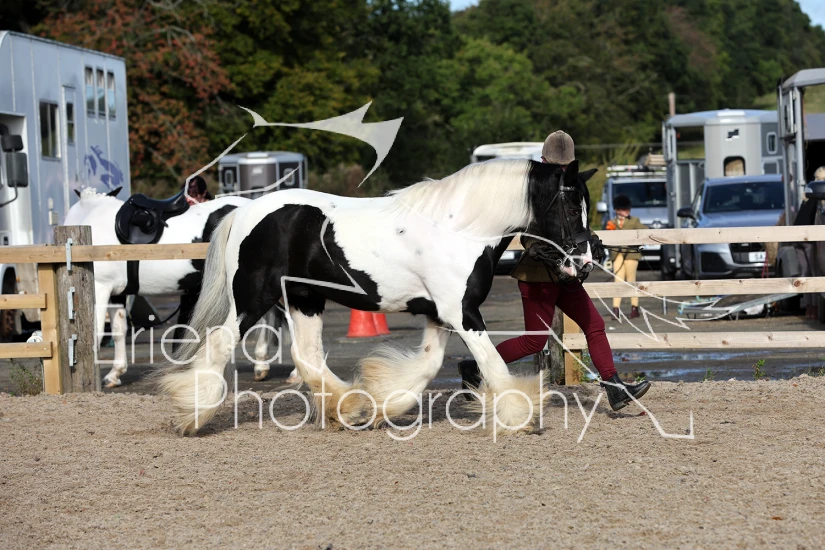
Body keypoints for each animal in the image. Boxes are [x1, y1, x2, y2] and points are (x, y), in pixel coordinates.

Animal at [64, 188, 289, 388]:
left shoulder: (100, 287)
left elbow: (97, 332)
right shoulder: (117, 293)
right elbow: (119, 330)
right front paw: (114, 374)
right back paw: (262, 366)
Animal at [159, 159, 596, 436]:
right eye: (572, 206)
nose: (585, 262)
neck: (460, 228)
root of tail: (244, 213)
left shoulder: (440, 314)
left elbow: (428, 365)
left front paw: (385, 403)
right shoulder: (462, 312)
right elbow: (492, 364)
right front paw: (520, 417)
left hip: (304, 299)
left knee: (307, 355)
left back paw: (348, 409)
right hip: (254, 299)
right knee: (219, 344)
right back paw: (192, 416)